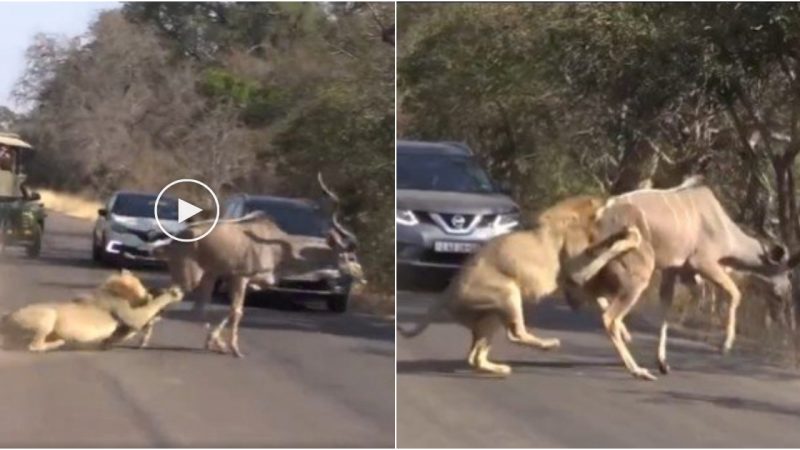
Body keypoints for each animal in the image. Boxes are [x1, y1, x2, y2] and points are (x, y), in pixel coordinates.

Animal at [0, 268, 183, 354]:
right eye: (142, 284)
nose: (149, 292)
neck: (112, 289)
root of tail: (7, 318)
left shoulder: (121, 328)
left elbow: (117, 337)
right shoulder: (127, 313)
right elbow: (149, 309)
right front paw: (173, 293)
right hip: (47, 314)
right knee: (33, 346)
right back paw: (59, 343)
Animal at [145, 174, 364, 356]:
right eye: (350, 257)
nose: (361, 277)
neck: (278, 248)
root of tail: (173, 243)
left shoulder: (248, 282)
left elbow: (232, 310)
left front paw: (218, 342)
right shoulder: (240, 277)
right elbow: (237, 311)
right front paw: (235, 349)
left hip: (207, 276)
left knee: (196, 308)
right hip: (190, 277)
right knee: (167, 297)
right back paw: (144, 338)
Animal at [396, 197, 640, 376]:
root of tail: (448, 290)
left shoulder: (575, 285)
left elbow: (603, 301)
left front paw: (624, 332)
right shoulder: (577, 272)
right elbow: (607, 252)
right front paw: (630, 238)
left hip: (490, 317)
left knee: (475, 356)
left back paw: (500, 368)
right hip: (508, 291)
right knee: (515, 333)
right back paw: (549, 344)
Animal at [568, 176, 800, 380]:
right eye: (787, 272)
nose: (785, 295)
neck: (724, 229)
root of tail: (599, 216)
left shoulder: (673, 271)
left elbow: (665, 309)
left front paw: (663, 363)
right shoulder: (703, 263)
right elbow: (734, 294)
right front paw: (725, 346)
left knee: (592, 290)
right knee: (608, 313)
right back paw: (635, 367)